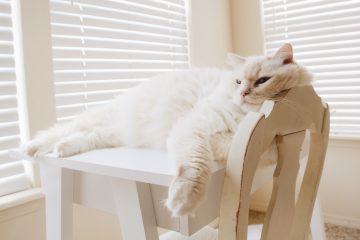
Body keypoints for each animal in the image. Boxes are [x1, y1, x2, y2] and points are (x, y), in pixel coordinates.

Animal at [25, 43, 312, 216]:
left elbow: (202, 160)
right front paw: (183, 202)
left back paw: (61, 150)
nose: (243, 93)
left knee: (84, 137)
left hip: (112, 133)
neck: (245, 119)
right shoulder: (194, 128)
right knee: (60, 131)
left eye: (262, 80)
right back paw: (33, 148)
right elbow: (194, 168)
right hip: (100, 119)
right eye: (238, 81)